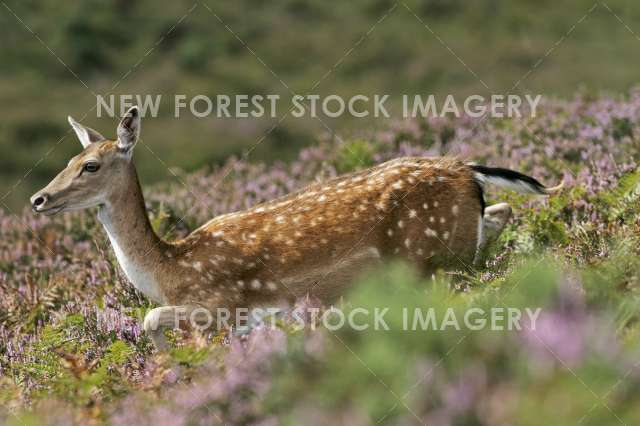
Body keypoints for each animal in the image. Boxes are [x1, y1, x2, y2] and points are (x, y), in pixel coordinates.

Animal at [31, 105, 560, 346]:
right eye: (69, 159)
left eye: (91, 166)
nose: (39, 199)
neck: (171, 270)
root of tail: (469, 170)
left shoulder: (221, 303)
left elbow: (151, 320)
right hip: (455, 238)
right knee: (501, 216)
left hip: (428, 255)